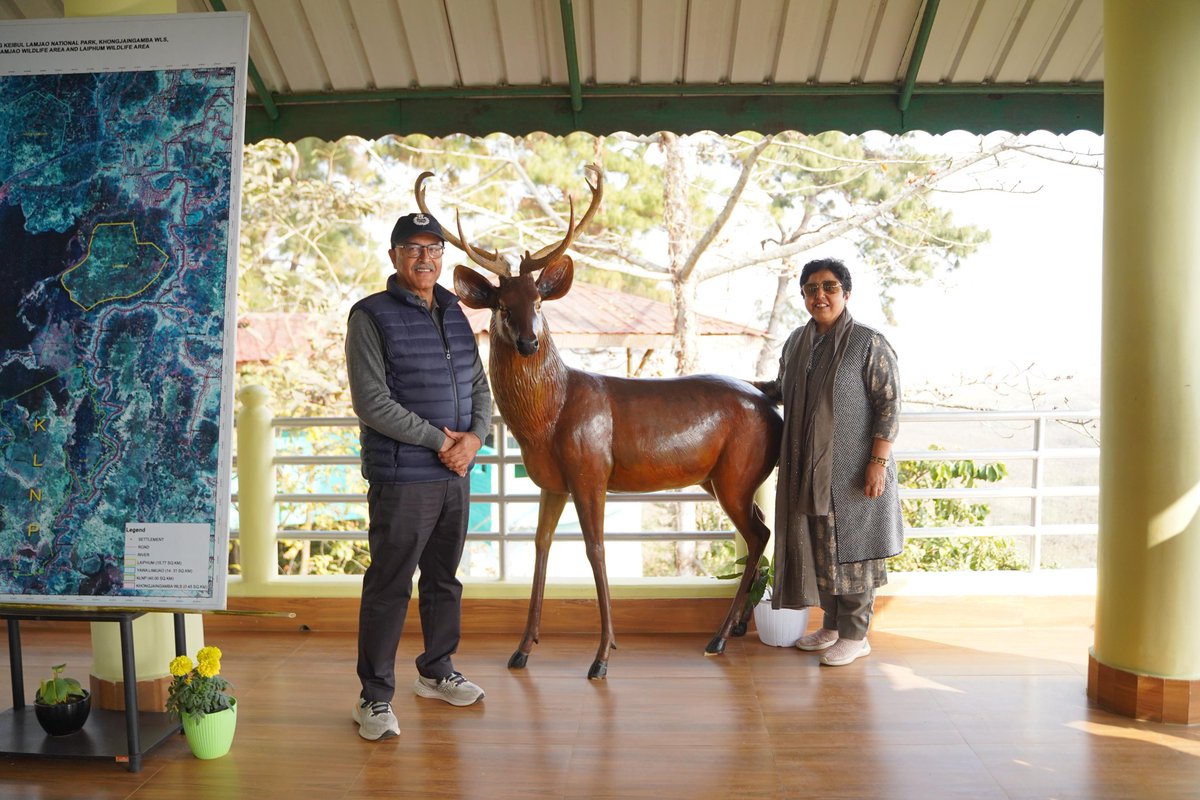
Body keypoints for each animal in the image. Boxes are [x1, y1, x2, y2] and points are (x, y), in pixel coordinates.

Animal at [417, 165, 782, 679]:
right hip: (719, 478)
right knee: (761, 532)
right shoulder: (552, 482)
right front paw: (522, 649)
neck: (547, 420)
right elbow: (541, 545)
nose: (528, 341)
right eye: (501, 306)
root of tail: (769, 400)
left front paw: (603, 656)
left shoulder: (590, 469)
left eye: (539, 303)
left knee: (758, 534)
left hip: (738, 472)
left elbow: (595, 549)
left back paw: (719, 637)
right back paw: (737, 628)